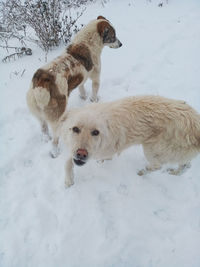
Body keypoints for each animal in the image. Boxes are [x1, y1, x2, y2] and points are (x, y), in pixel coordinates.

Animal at [25, 15, 121, 158]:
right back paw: (55, 152)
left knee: (43, 128)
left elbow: (82, 88)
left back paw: (45, 138)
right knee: (55, 139)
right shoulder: (96, 77)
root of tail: (42, 81)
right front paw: (94, 100)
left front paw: (83, 97)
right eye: (113, 35)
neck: (87, 42)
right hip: (58, 116)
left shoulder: (81, 79)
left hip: (38, 113)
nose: (121, 44)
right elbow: (94, 92)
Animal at [58, 95, 200, 187]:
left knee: (157, 166)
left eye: (95, 132)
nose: (82, 153)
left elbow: (69, 161)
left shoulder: (102, 152)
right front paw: (69, 180)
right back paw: (174, 173)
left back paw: (142, 172)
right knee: (186, 165)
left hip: (151, 149)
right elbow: (68, 162)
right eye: (75, 129)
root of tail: (195, 124)